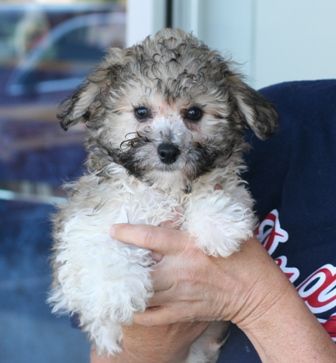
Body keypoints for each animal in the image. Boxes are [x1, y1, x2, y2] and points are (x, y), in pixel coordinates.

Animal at [48, 29, 276, 363]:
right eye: (141, 112)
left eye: (194, 113)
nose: (168, 151)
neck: (160, 190)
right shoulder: (83, 217)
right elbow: (98, 237)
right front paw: (116, 289)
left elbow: (214, 188)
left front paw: (218, 223)